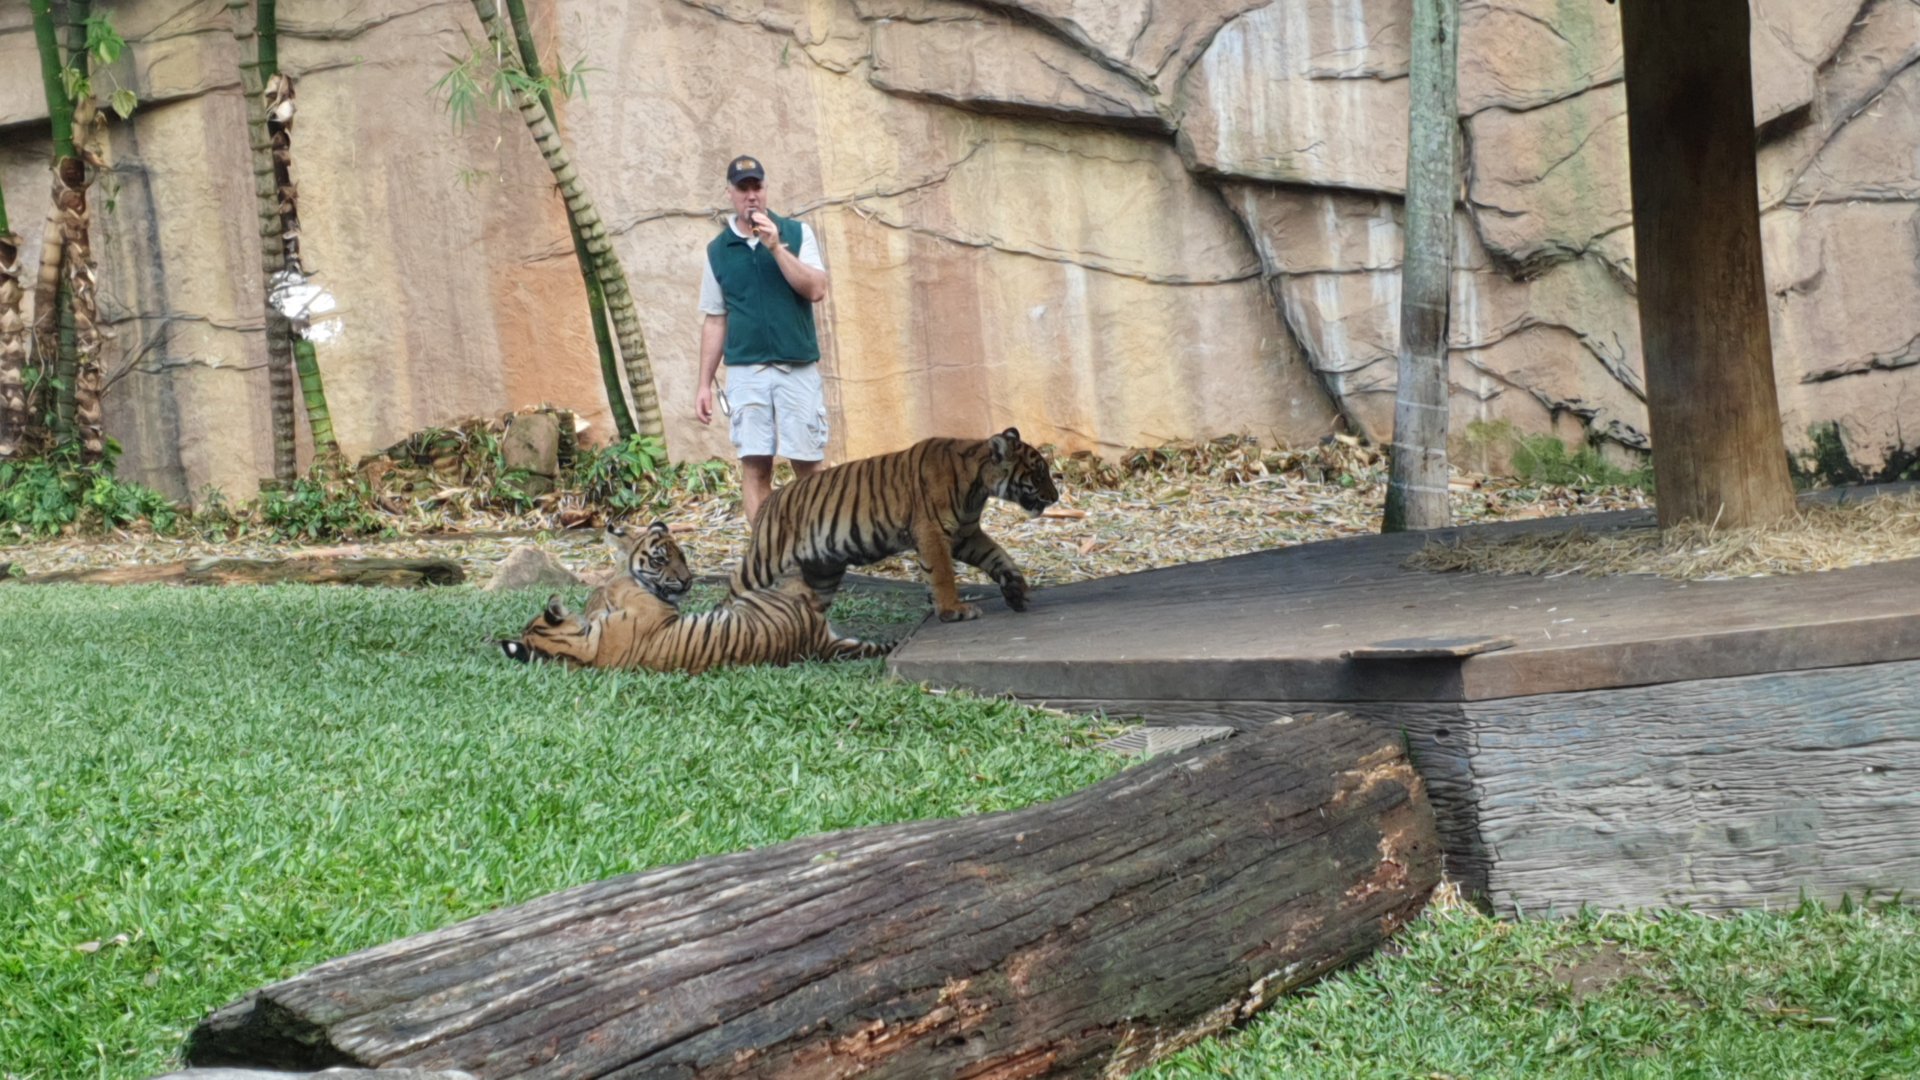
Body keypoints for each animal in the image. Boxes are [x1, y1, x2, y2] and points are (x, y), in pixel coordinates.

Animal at [499, 522, 892, 674]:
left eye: (683, 558)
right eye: (662, 560)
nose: (687, 581)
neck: (585, 652)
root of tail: (816, 642)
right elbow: (621, 580)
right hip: (765, 592)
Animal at [730, 427, 1058, 622]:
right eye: (1039, 473)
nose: (1056, 497)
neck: (978, 486)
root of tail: (772, 498)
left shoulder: (966, 535)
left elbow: (998, 555)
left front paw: (1016, 590)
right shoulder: (933, 532)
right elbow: (943, 574)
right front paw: (953, 610)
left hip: (823, 569)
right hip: (765, 561)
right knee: (735, 587)